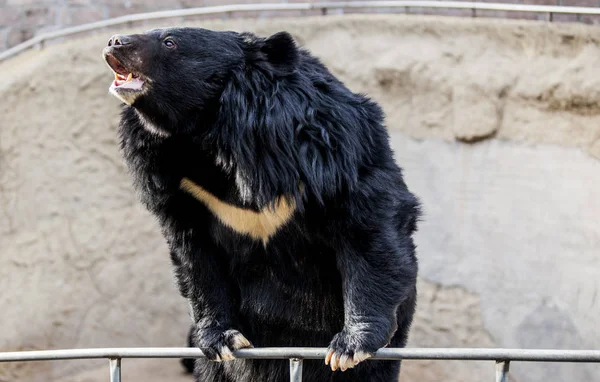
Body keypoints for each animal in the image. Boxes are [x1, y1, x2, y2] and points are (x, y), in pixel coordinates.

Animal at [103, 27, 420, 382]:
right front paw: (221, 340)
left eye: (170, 42)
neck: (210, 137)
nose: (114, 41)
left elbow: (368, 227)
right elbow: (195, 256)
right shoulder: (178, 189)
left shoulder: (332, 153)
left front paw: (349, 347)